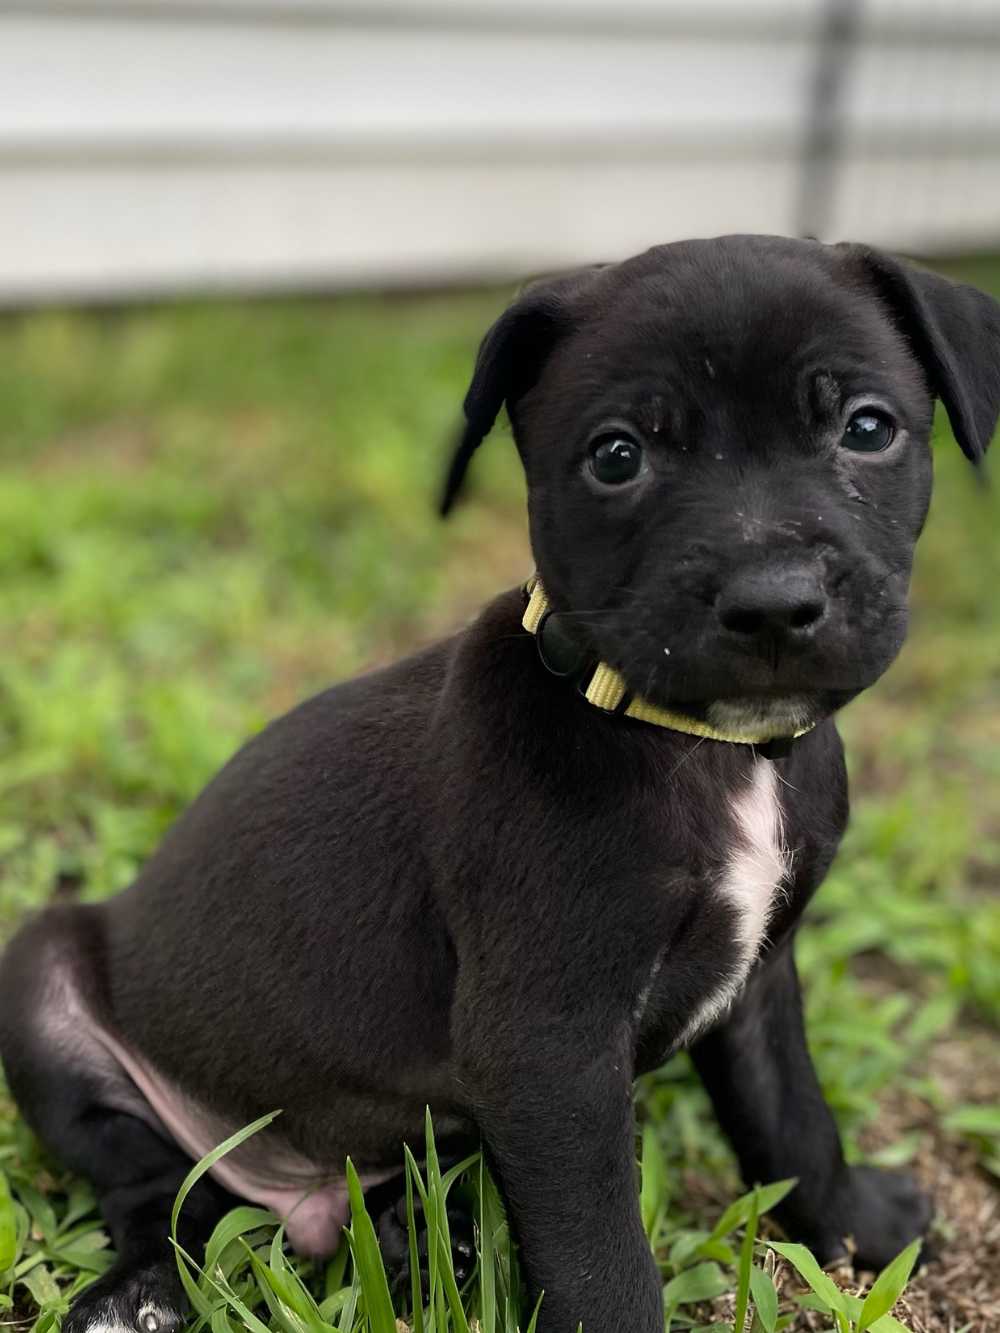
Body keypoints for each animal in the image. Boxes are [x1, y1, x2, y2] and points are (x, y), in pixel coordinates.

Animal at [2, 235, 998, 1333]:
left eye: (867, 429)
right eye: (617, 456)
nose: (774, 601)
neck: (700, 746)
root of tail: (293, 1200)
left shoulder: (759, 984)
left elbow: (794, 1121)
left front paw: (859, 1224)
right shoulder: (546, 1052)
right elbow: (602, 1259)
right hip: (42, 980)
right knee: (147, 1186)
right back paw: (140, 1292)